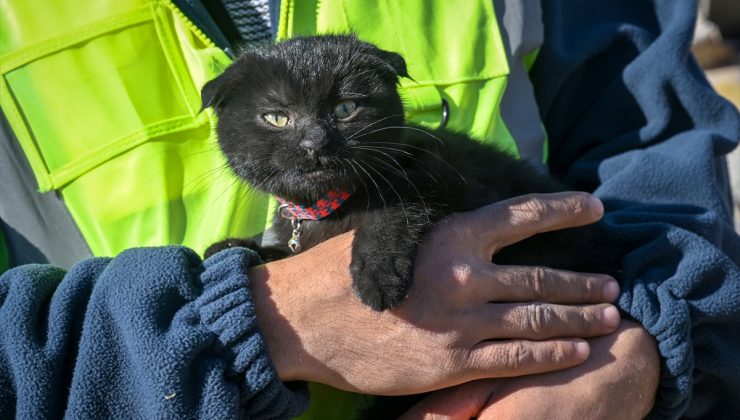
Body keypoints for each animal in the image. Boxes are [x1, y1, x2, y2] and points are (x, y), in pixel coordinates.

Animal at [202, 35, 624, 312]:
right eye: (277, 117)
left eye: (345, 109)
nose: (314, 142)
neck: (331, 208)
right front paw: (232, 248)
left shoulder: (448, 168)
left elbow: (395, 202)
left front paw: (377, 274)